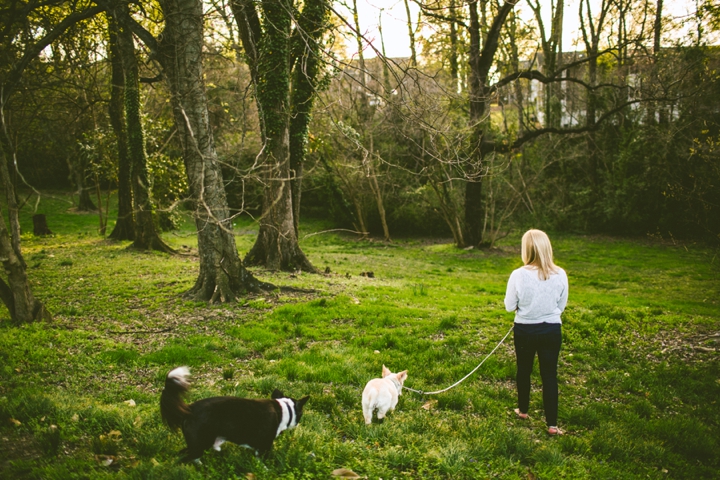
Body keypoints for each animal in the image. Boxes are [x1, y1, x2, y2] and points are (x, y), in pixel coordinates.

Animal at [160, 368, 310, 462]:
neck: (284, 409)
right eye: (301, 414)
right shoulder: (265, 445)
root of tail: (189, 409)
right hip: (201, 441)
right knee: (187, 457)